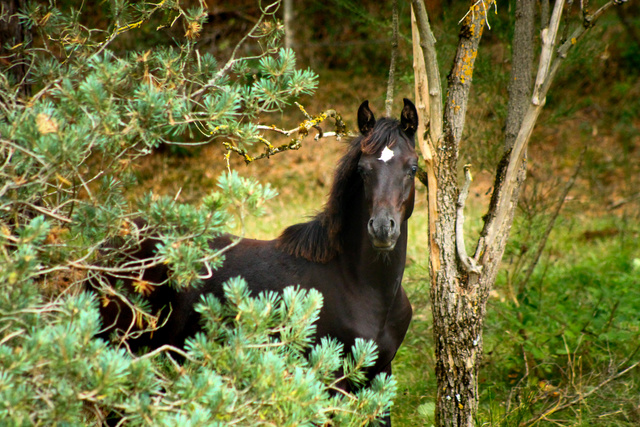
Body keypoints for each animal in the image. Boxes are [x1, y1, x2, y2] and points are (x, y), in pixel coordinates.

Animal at [95, 100, 418, 422]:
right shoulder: (332, 381)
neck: (360, 287)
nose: (382, 229)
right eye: (363, 170)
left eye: (412, 168)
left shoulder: (381, 375)